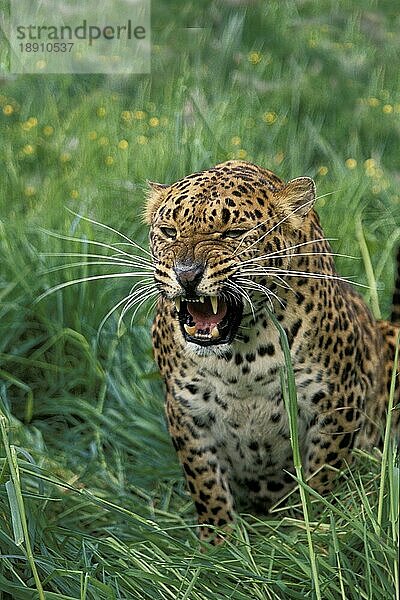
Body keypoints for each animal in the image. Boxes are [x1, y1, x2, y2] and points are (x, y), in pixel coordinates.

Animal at [144, 161, 400, 544]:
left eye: (234, 233)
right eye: (169, 231)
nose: (186, 275)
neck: (241, 358)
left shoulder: (338, 402)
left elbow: (322, 473)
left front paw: (310, 527)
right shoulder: (185, 411)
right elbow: (204, 480)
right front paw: (218, 541)